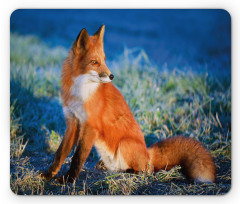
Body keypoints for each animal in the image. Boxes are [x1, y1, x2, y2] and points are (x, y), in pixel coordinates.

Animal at [40, 25, 216, 183]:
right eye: (94, 62)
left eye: (104, 60)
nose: (111, 76)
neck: (81, 92)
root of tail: (148, 153)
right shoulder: (72, 122)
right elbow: (60, 153)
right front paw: (49, 175)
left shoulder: (90, 126)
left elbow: (78, 157)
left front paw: (68, 180)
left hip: (124, 144)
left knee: (146, 171)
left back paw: (128, 172)